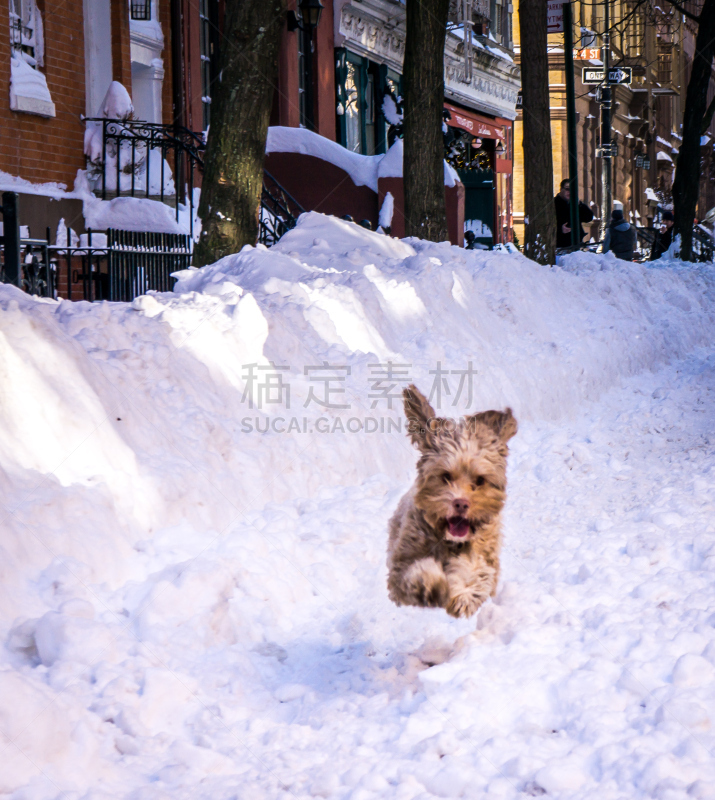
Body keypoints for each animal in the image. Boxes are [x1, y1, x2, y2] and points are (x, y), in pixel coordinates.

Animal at [388, 386, 516, 620]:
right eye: (446, 476)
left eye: (480, 480)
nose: (461, 504)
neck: (450, 542)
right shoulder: (402, 562)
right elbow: (414, 572)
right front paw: (431, 585)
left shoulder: (483, 554)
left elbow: (474, 573)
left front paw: (463, 594)